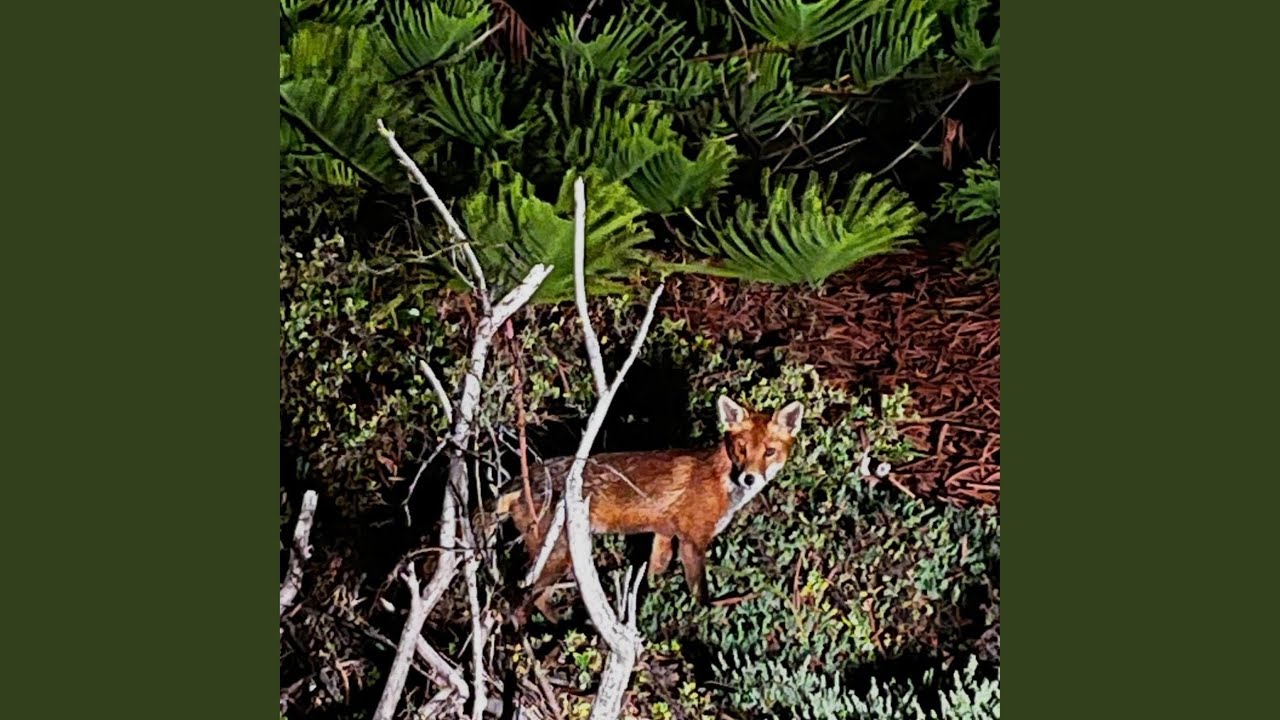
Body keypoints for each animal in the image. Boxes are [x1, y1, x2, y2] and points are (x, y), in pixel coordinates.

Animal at [491, 394, 804, 624]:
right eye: (741, 449)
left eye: (769, 452)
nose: (750, 478)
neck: (720, 480)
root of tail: (524, 476)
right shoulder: (692, 542)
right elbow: (700, 593)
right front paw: (705, 616)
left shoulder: (664, 535)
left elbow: (654, 577)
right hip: (559, 556)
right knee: (525, 600)